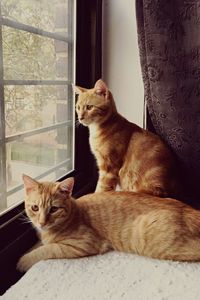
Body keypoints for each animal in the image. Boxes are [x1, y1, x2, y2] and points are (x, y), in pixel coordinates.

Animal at [16, 176, 200, 272]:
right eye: (35, 208)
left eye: (54, 209)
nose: (42, 222)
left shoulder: (84, 243)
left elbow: (47, 249)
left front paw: (22, 262)